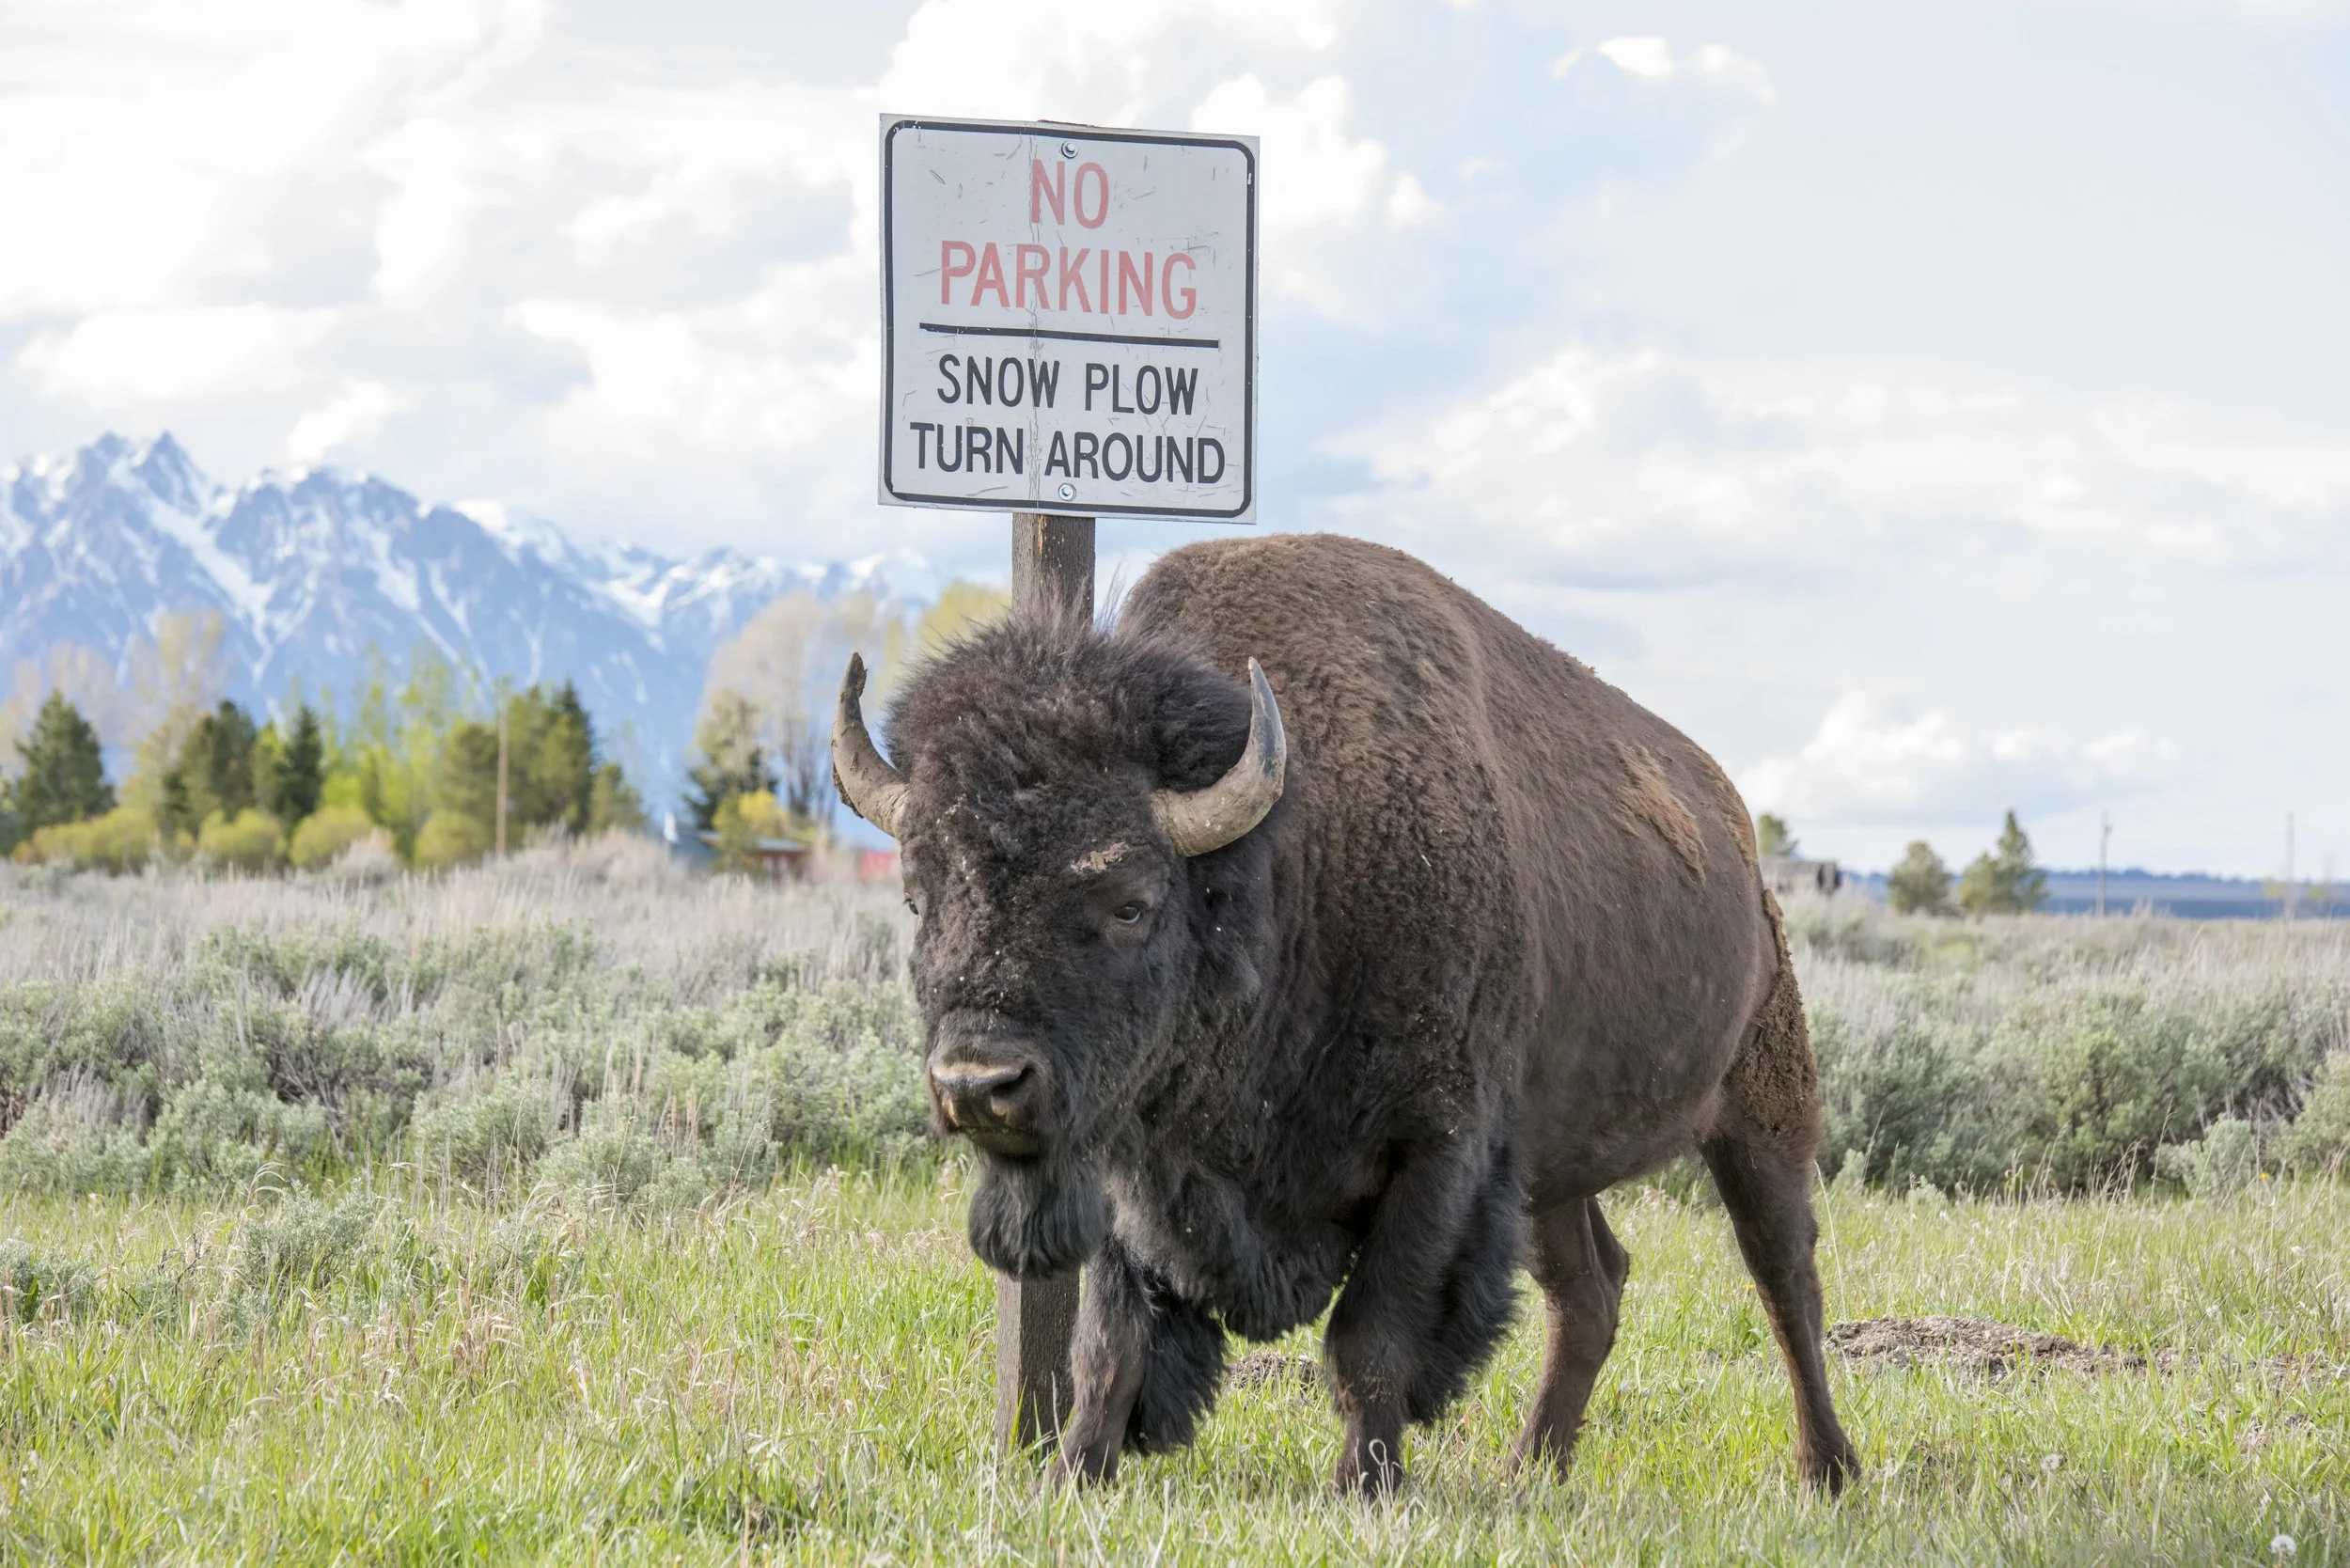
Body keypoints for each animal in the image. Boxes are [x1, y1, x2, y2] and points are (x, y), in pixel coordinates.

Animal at [832, 533, 1857, 1496]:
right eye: (919, 897)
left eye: (1128, 901)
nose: (978, 1083)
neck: (1289, 860)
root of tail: (1741, 848)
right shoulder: (1137, 1157)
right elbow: (1111, 1343)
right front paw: (1072, 1476)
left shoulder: (1436, 1155)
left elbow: (1370, 1338)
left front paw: (1365, 1488)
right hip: (1551, 1170)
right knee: (1591, 1291)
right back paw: (1532, 1469)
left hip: (1763, 1116)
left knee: (1784, 1278)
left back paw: (1827, 1471)